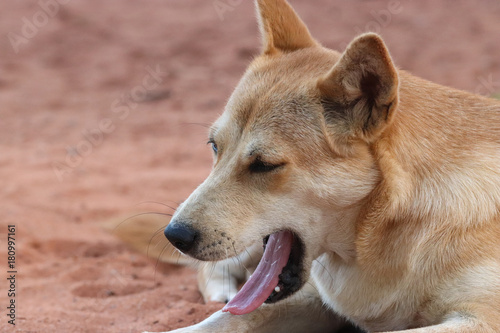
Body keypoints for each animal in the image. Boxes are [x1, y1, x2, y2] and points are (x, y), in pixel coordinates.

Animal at [154, 0, 500, 332]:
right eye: (214, 146)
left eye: (264, 165)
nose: (174, 236)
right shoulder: (314, 295)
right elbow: (224, 320)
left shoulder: (480, 319)